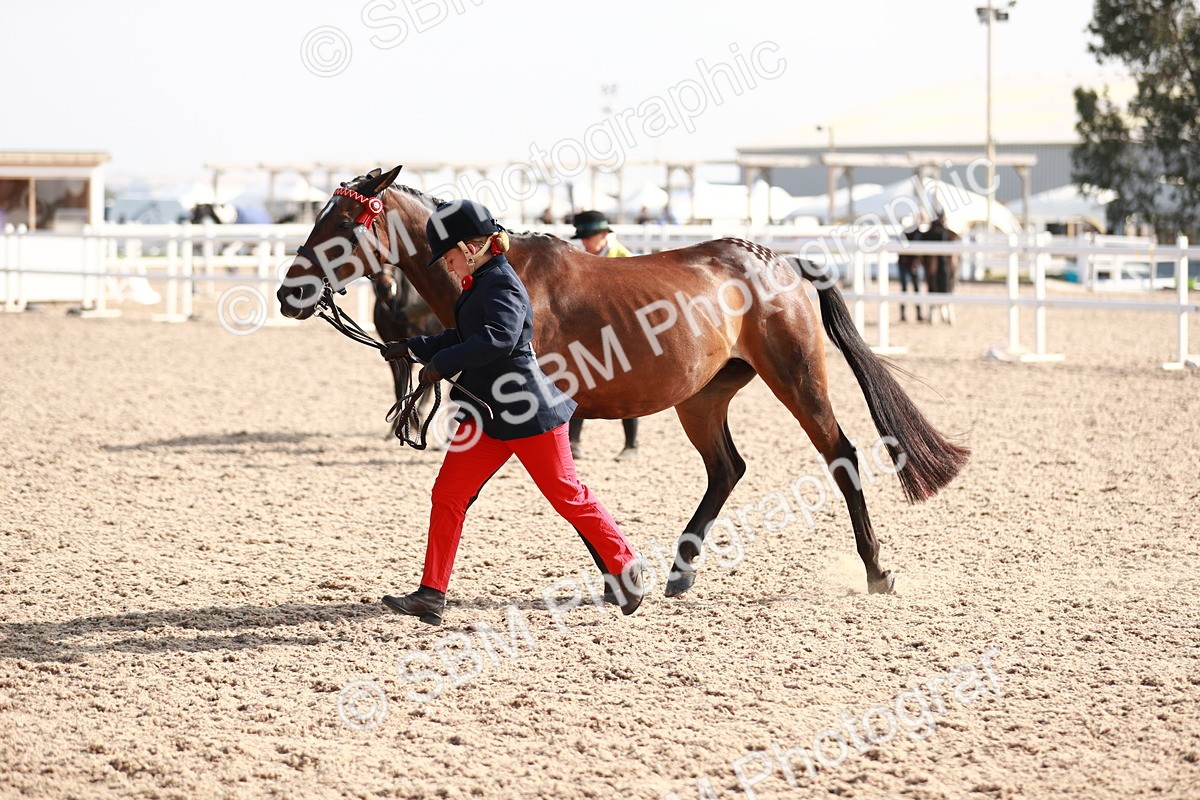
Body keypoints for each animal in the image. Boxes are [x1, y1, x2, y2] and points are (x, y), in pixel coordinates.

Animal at [277, 166, 970, 597]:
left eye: (341, 224)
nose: (289, 293)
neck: (493, 271)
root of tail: (781, 262)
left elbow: (561, 493)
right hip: (703, 398)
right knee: (727, 469)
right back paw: (680, 574)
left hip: (797, 379)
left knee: (842, 456)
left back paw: (876, 572)